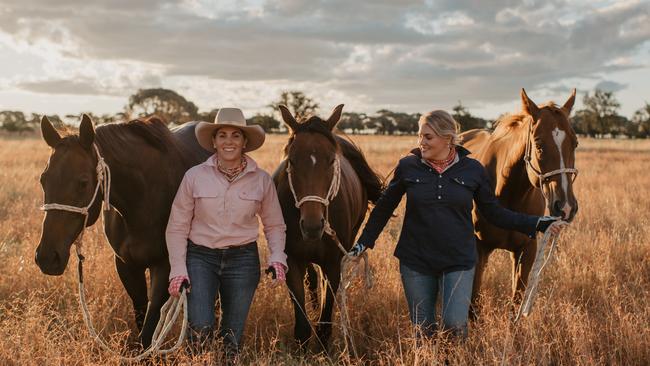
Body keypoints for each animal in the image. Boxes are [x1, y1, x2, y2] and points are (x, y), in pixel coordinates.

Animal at [35, 114, 209, 348]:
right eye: (43, 179)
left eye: (83, 182)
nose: (46, 257)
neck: (143, 201)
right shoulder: (126, 265)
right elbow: (141, 314)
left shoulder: (165, 266)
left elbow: (149, 327)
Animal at [270, 103, 382, 348]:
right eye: (291, 160)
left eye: (331, 160)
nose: (313, 226)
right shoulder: (292, 262)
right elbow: (302, 323)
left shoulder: (333, 263)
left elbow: (325, 318)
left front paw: (322, 347)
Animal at [458, 88, 580, 314]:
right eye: (539, 144)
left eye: (575, 143)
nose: (566, 207)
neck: (509, 195)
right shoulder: (478, 249)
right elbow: (474, 306)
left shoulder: (527, 250)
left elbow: (516, 303)